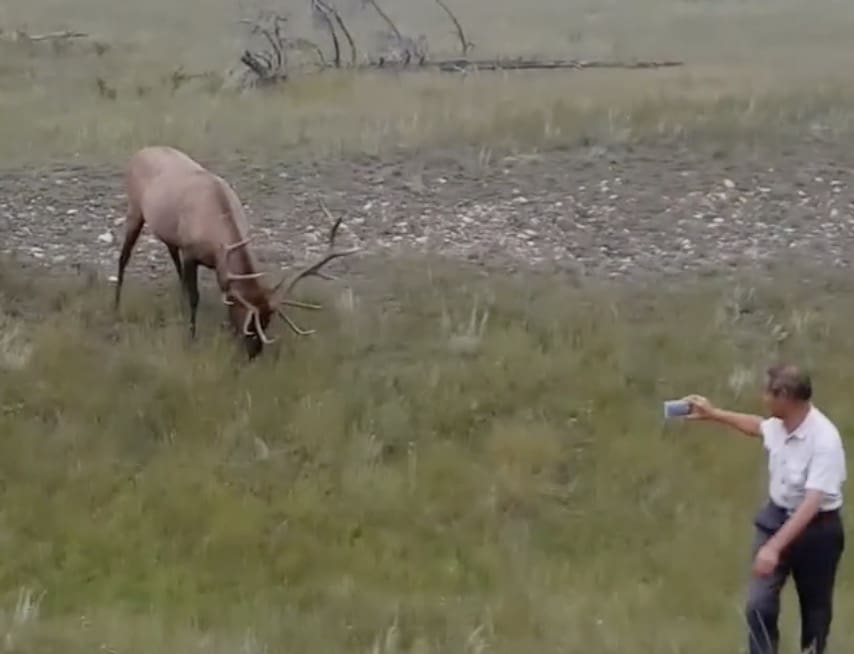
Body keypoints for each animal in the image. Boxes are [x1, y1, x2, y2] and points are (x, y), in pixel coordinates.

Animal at [113, 145, 360, 359]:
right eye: (249, 322)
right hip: (134, 210)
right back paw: (115, 306)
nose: (254, 353)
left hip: (167, 231)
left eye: (268, 320)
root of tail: (140, 152)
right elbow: (194, 297)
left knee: (172, 254)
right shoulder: (190, 252)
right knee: (123, 257)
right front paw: (191, 336)